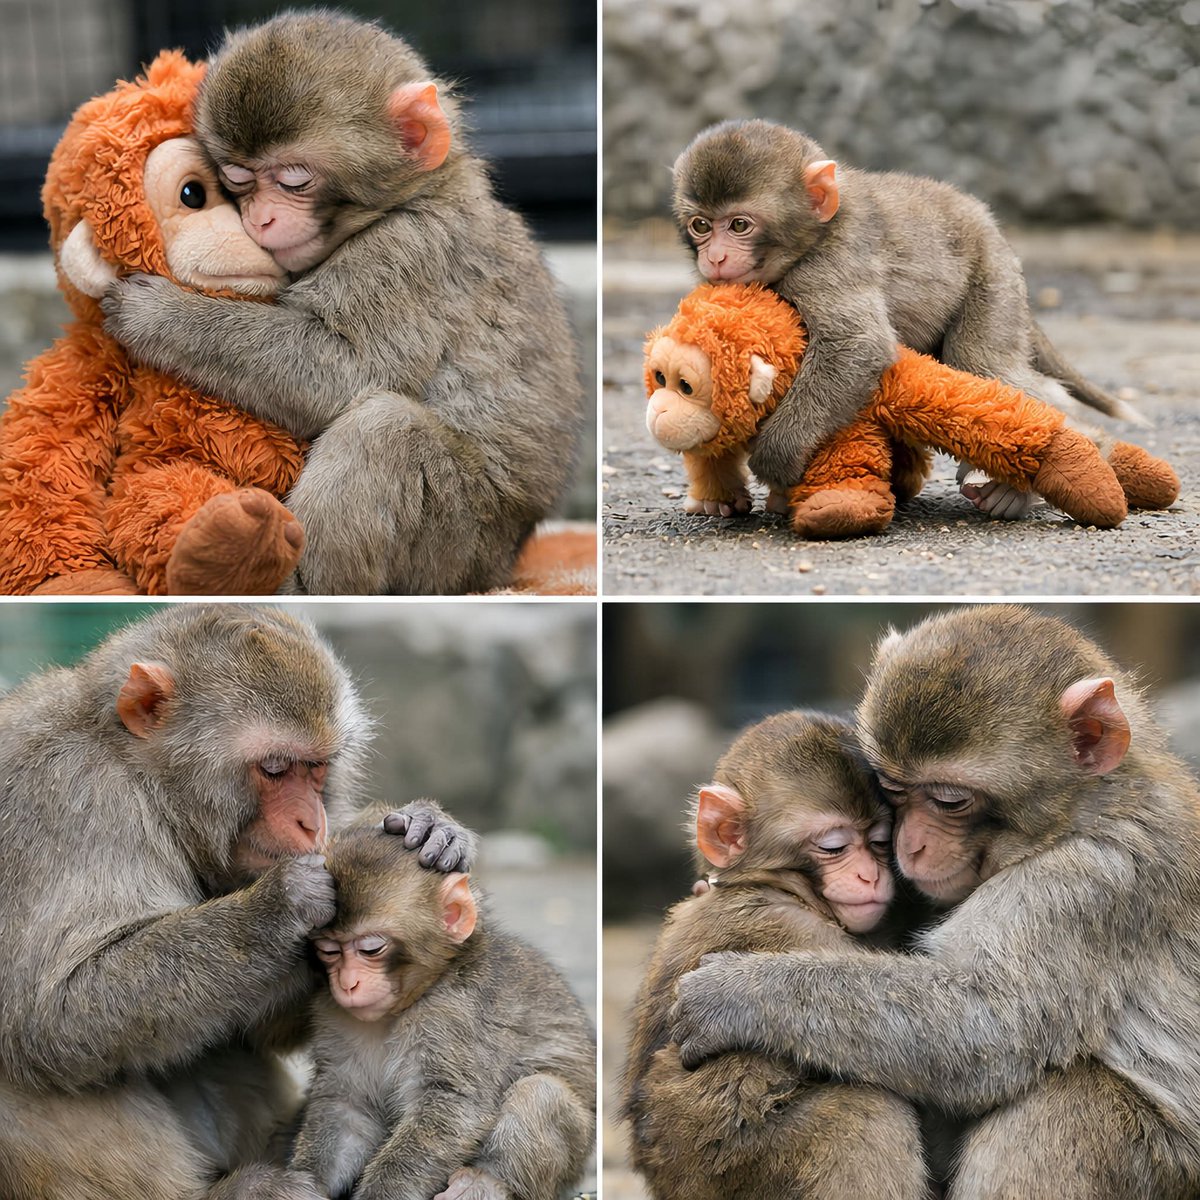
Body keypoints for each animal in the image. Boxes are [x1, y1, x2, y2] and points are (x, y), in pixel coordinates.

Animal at [0, 605, 476, 1200]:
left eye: (317, 768)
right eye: (273, 769)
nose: (313, 822)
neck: (140, 778)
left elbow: (254, 1028)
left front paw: (428, 824)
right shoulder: (70, 800)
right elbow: (52, 1014)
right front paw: (280, 905)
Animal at [99, 10, 585, 596]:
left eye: (295, 180)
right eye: (238, 179)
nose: (260, 219)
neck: (412, 198)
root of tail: (505, 560)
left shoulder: (407, 255)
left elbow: (348, 371)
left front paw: (158, 315)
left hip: (458, 541)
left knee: (384, 429)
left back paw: (290, 581)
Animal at [289, 803, 596, 1200]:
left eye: (371, 949)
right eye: (328, 951)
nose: (348, 983)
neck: (412, 1000)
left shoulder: (453, 1017)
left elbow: (453, 1104)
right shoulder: (334, 1015)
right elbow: (345, 1105)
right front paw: (300, 1185)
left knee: (541, 1092)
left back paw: (486, 1183)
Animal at [623, 711, 927, 1200]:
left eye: (880, 843)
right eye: (834, 847)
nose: (869, 876)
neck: (771, 884)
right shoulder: (796, 930)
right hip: (731, 1170)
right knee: (866, 1113)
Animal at [669, 606, 1200, 1199]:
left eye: (950, 800)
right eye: (896, 790)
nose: (911, 847)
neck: (1082, 812)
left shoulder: (1090, 882)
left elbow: (992, 1023)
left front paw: (732, 993)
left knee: (1058, 1105)